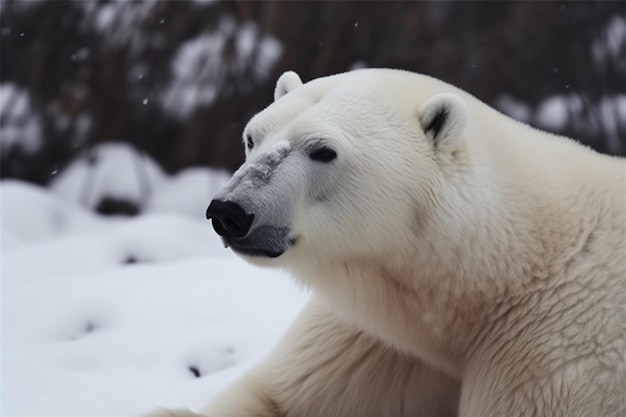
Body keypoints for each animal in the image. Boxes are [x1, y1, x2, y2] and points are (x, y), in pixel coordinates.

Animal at [149, 69, 620, 416]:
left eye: (323, 151)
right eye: (252, 137)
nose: (230, 212)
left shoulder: (557, 358)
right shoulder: (373, 336)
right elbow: (278, 397)